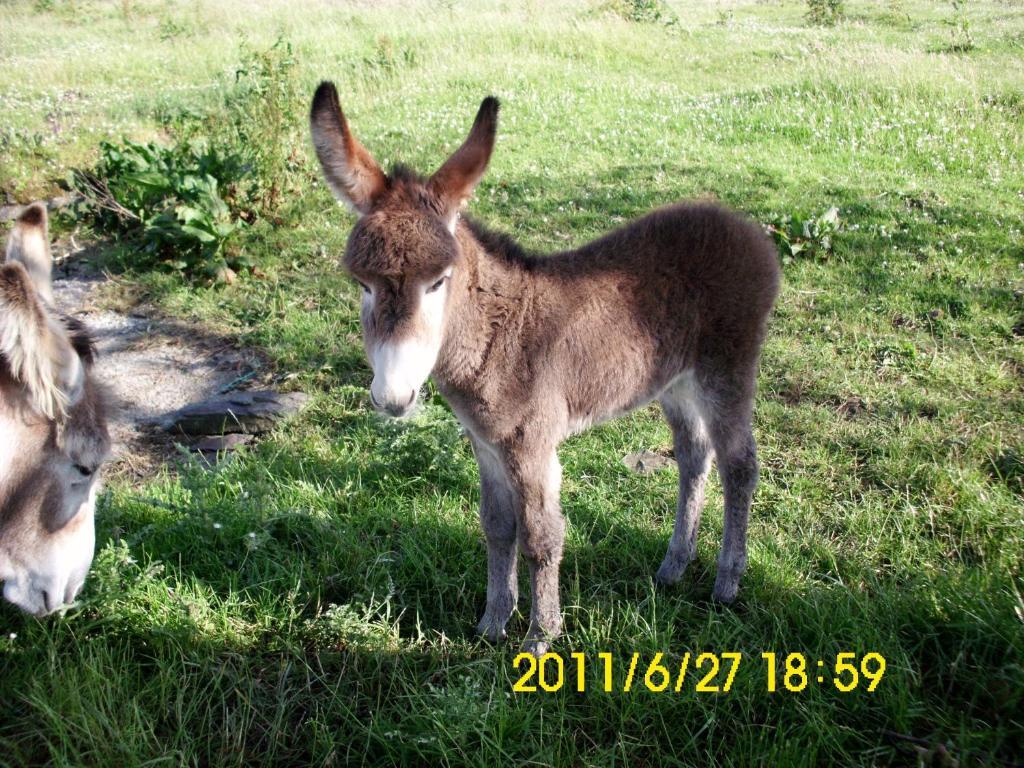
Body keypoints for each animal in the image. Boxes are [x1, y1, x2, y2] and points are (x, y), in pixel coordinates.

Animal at [309, 82, 774, 655]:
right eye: (363, 284)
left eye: (438, 282)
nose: (393, 398)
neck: (494, 333)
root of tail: (743, 224)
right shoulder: (486, 445)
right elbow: (496, 526)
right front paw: (491, 624)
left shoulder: (531, 446)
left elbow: (540, 536)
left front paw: (538, 638)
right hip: (675, 381)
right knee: (694, 457)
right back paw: (673, 567)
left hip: (726, 371)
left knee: (740, 465)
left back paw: (727, 584)